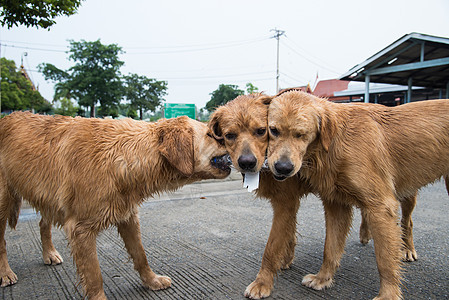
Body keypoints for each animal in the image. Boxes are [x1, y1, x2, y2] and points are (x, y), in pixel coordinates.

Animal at [0, 112, 231, 300]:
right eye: (210, 135)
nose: (231, 138)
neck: (120, 155)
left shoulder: (127, 216)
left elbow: (140, 255)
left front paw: (152, 281)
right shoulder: (80, 229)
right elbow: (94, 277)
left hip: (46, 194)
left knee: (42, 223)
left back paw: (49, 253)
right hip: (4, 201)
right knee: (2, 241)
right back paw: (5, 273)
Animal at [208, 93, 310, 298]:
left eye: (262, 131)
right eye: (229, 135)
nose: (247, 162)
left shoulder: (285, 203)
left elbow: (271, 247)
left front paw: (263, 282)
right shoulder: (290, 203)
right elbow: (289, 233)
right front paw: (286, 259)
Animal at [266, 91, 448, 300]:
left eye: (301, 135)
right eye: (273, 130)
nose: (283, 168)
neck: (335, 141)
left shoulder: (382, 205)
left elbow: (385, 260)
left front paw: (388, 294)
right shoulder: (336, 204)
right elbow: (330, 248)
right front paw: (323, 278)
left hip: (408, 193)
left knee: (407, 222)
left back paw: (408, 249)